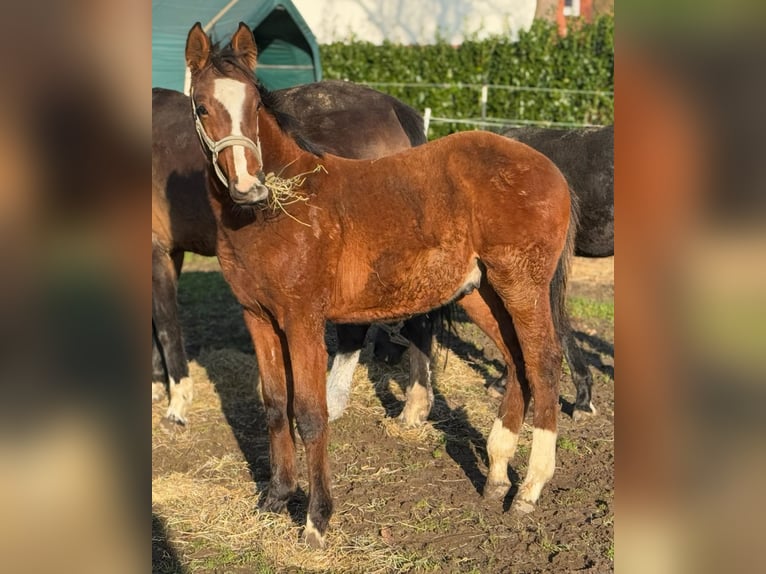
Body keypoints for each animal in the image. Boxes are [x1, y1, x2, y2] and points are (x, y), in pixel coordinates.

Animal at [185, 22, 576, 548]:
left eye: (254, 105)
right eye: (202, 107)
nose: (250, 188)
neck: (280, 211)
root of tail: (549, 168)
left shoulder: (303, 320)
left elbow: (309, 413)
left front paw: (316, 520)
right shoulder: (259, 318)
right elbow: (274, 405)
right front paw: (275, 498)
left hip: (522, 285)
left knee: (545, 362)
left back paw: (529, 490)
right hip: (482, 292)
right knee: (518, 360)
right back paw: (496, 476)